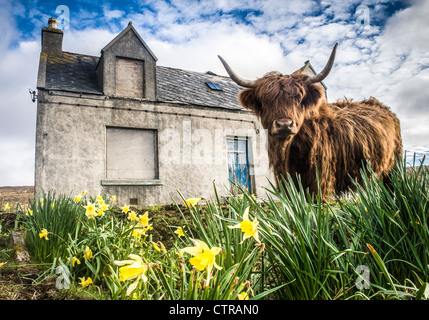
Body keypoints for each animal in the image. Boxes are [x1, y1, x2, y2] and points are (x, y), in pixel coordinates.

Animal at [217, 42, 402, 198]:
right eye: (265, 101)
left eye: (299, 99)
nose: (284, 124)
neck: (290, 150)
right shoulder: (285, 181)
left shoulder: (322, 179)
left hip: (394, 166)